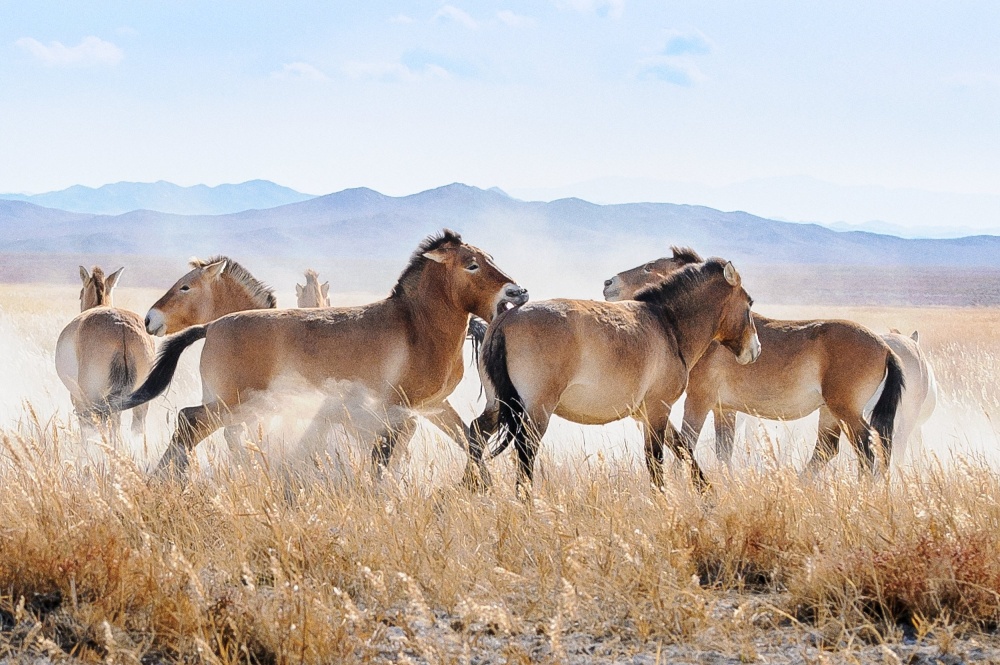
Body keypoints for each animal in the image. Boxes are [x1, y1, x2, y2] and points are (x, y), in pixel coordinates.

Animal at [55, 264, 154, 436]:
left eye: (80, 295)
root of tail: (122, 328)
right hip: (138, 403)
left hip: (95, 401)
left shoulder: (79, 400)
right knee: (135, 428)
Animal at [119, 231, 532, 480]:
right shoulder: (394, 410)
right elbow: (383, 458)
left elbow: (469, 440)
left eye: (487, 258)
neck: (418, 326)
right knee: (190, 423)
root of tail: (214, 326)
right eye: (471, 264)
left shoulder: (431, 406)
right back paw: (165, 481)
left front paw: (478, 488)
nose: (519, 293)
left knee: (193, 426)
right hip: (235, 403)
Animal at [478, 256, 756, 496]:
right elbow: (656, 460)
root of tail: (507, 318)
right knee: (525, 455)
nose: (756, 349)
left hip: (497, 405)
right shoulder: (658, 408)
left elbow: (682, 447)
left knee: (476, 435)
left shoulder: (647, 412)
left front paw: (707, 493)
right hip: (537, 411)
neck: (667, 324)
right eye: (750, 302)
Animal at [604, 249, 912, 472]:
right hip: (830, 412)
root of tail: (885, 347)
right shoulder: (724, 409)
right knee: (827, 450)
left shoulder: (699, 399)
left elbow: (687, 444)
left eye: (649, 266)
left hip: (846, 411)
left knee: (866, 451)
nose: (608, 283)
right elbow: (723, 452)